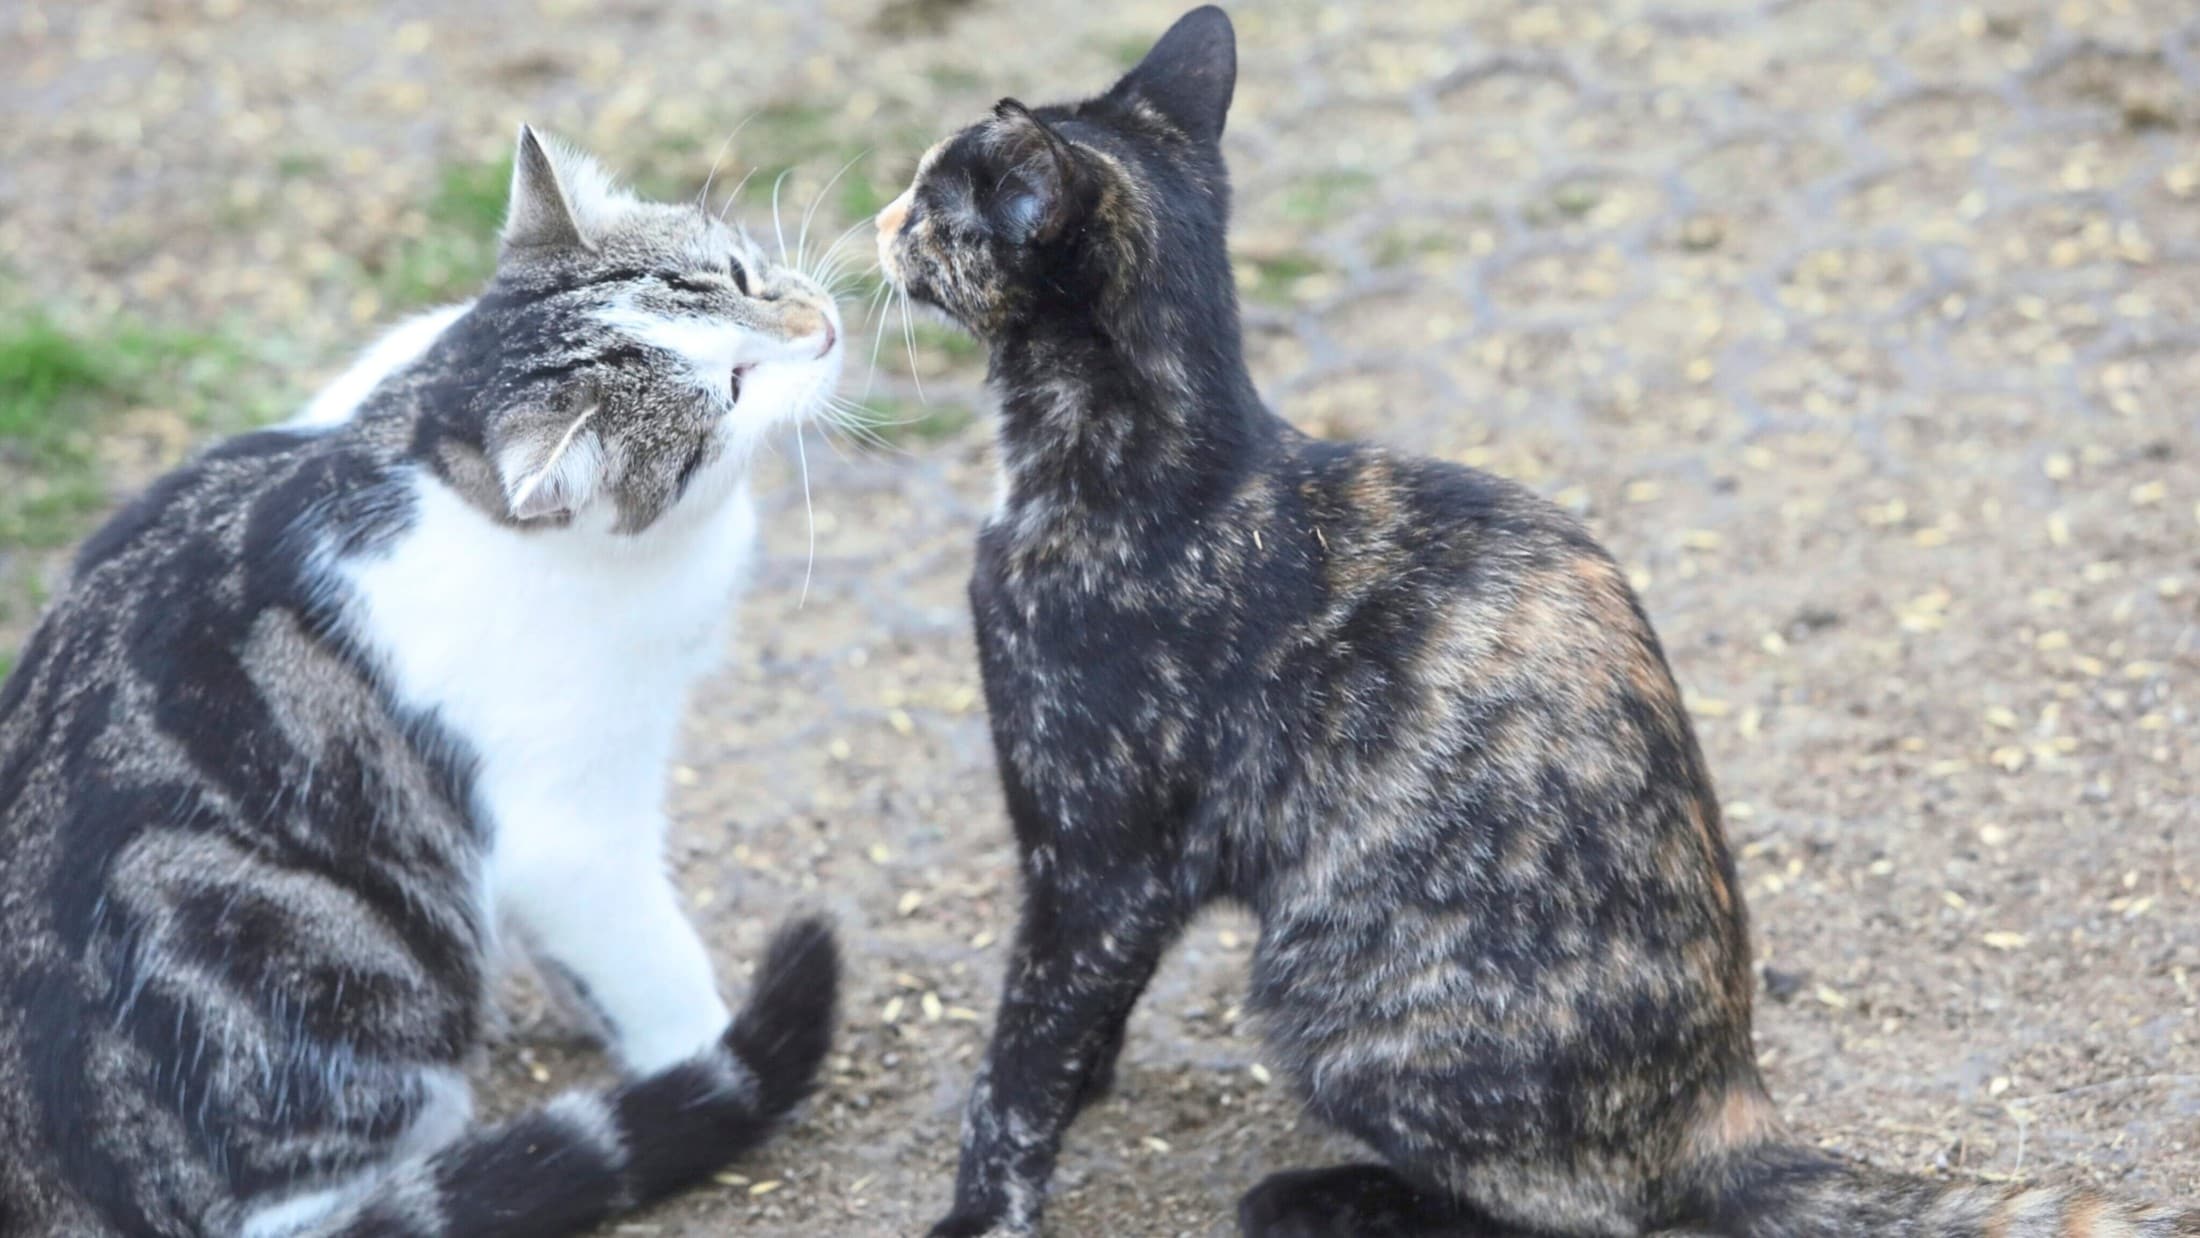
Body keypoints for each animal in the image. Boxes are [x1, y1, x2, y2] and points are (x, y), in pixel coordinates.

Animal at [0, 128, 840, 1238]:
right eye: (733, 388)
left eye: (743, 277)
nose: (823, 329)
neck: (428, 433)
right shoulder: (566, 829)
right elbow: (648, 962)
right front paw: (699, 1059)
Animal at [875, 9, 2200, 1238]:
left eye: (938, 200)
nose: (880, 215)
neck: (1159, 469)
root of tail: (1726, 1104)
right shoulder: (1097, 887)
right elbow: (1062, 1025)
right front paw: (1089, 1077)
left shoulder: (1095, 863)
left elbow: (1018, 1064)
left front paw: (980, 1202)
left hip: (1325, 996)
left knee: (1586, 1208)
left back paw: (1321, 1192)